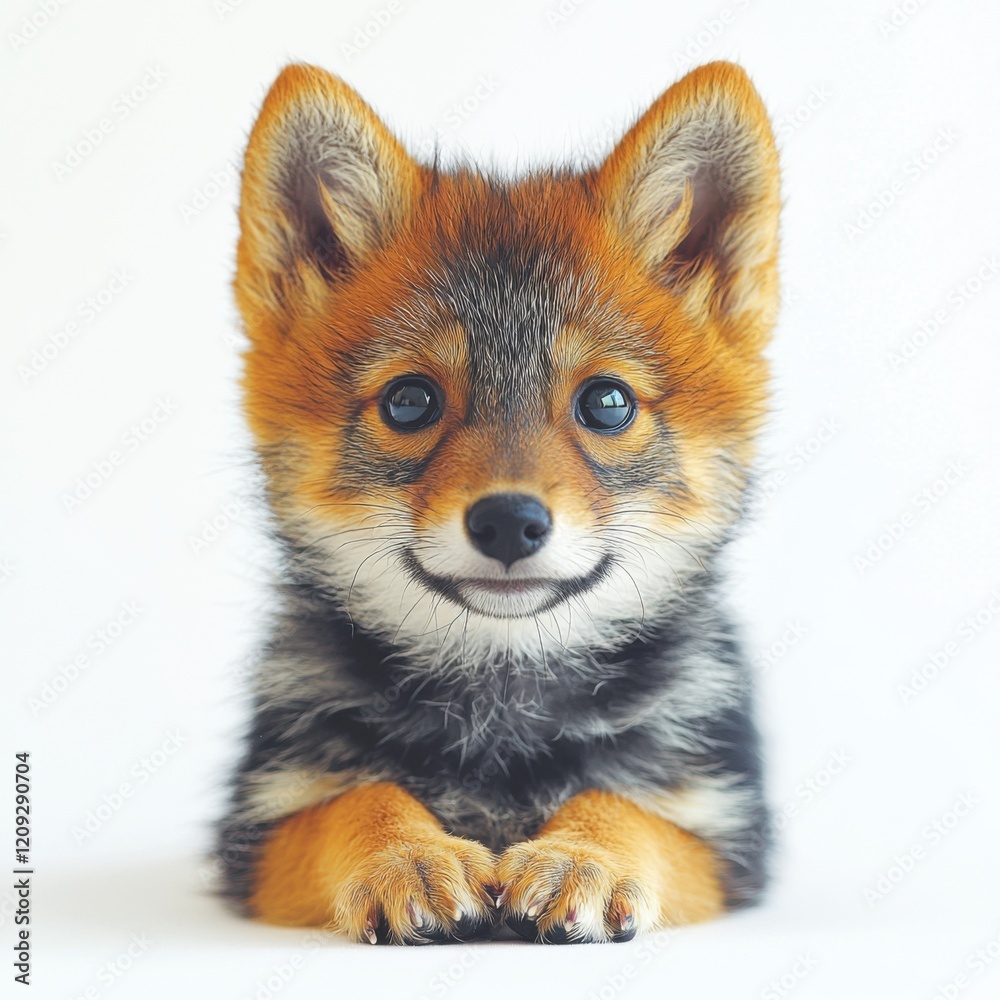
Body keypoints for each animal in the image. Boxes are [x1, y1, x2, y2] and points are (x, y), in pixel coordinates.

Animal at [215, 60, 781, 945]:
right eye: (410, 401)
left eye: (607, 403)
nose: (509, 521)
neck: (500, 725)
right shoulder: (260, 829)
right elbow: (359, 798)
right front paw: (405, 855)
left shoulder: (725, 834)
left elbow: (627, 806)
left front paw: (584, 854)